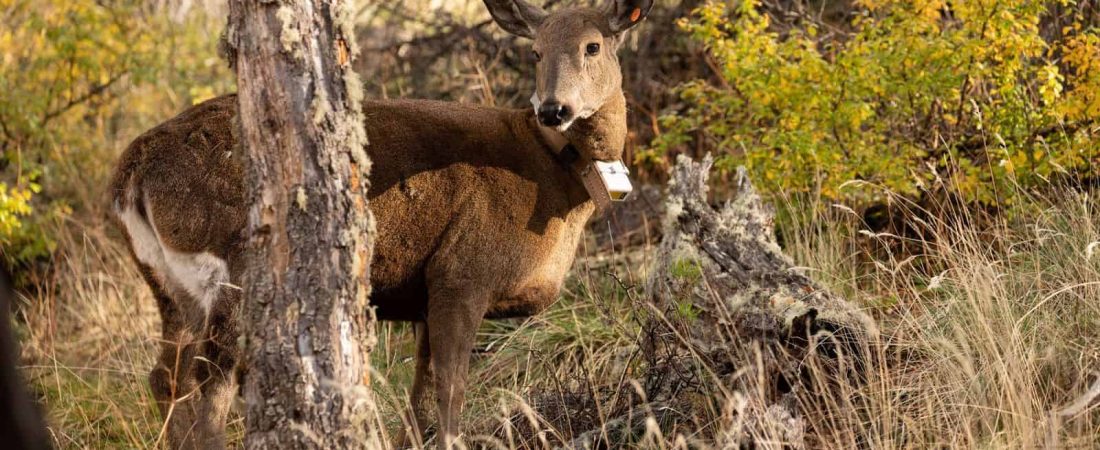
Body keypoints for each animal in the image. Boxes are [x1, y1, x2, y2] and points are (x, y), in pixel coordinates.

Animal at [107, 0, 646, 444]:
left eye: (593, 45)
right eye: (535, 51)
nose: (555, 108)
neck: (555, 176)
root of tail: (130, 173)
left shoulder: (429, 293)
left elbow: (420, 395)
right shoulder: (462, 273)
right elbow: (451, 390)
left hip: (167, 283)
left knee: (167, 376)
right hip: (231, 263)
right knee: (210, 380)